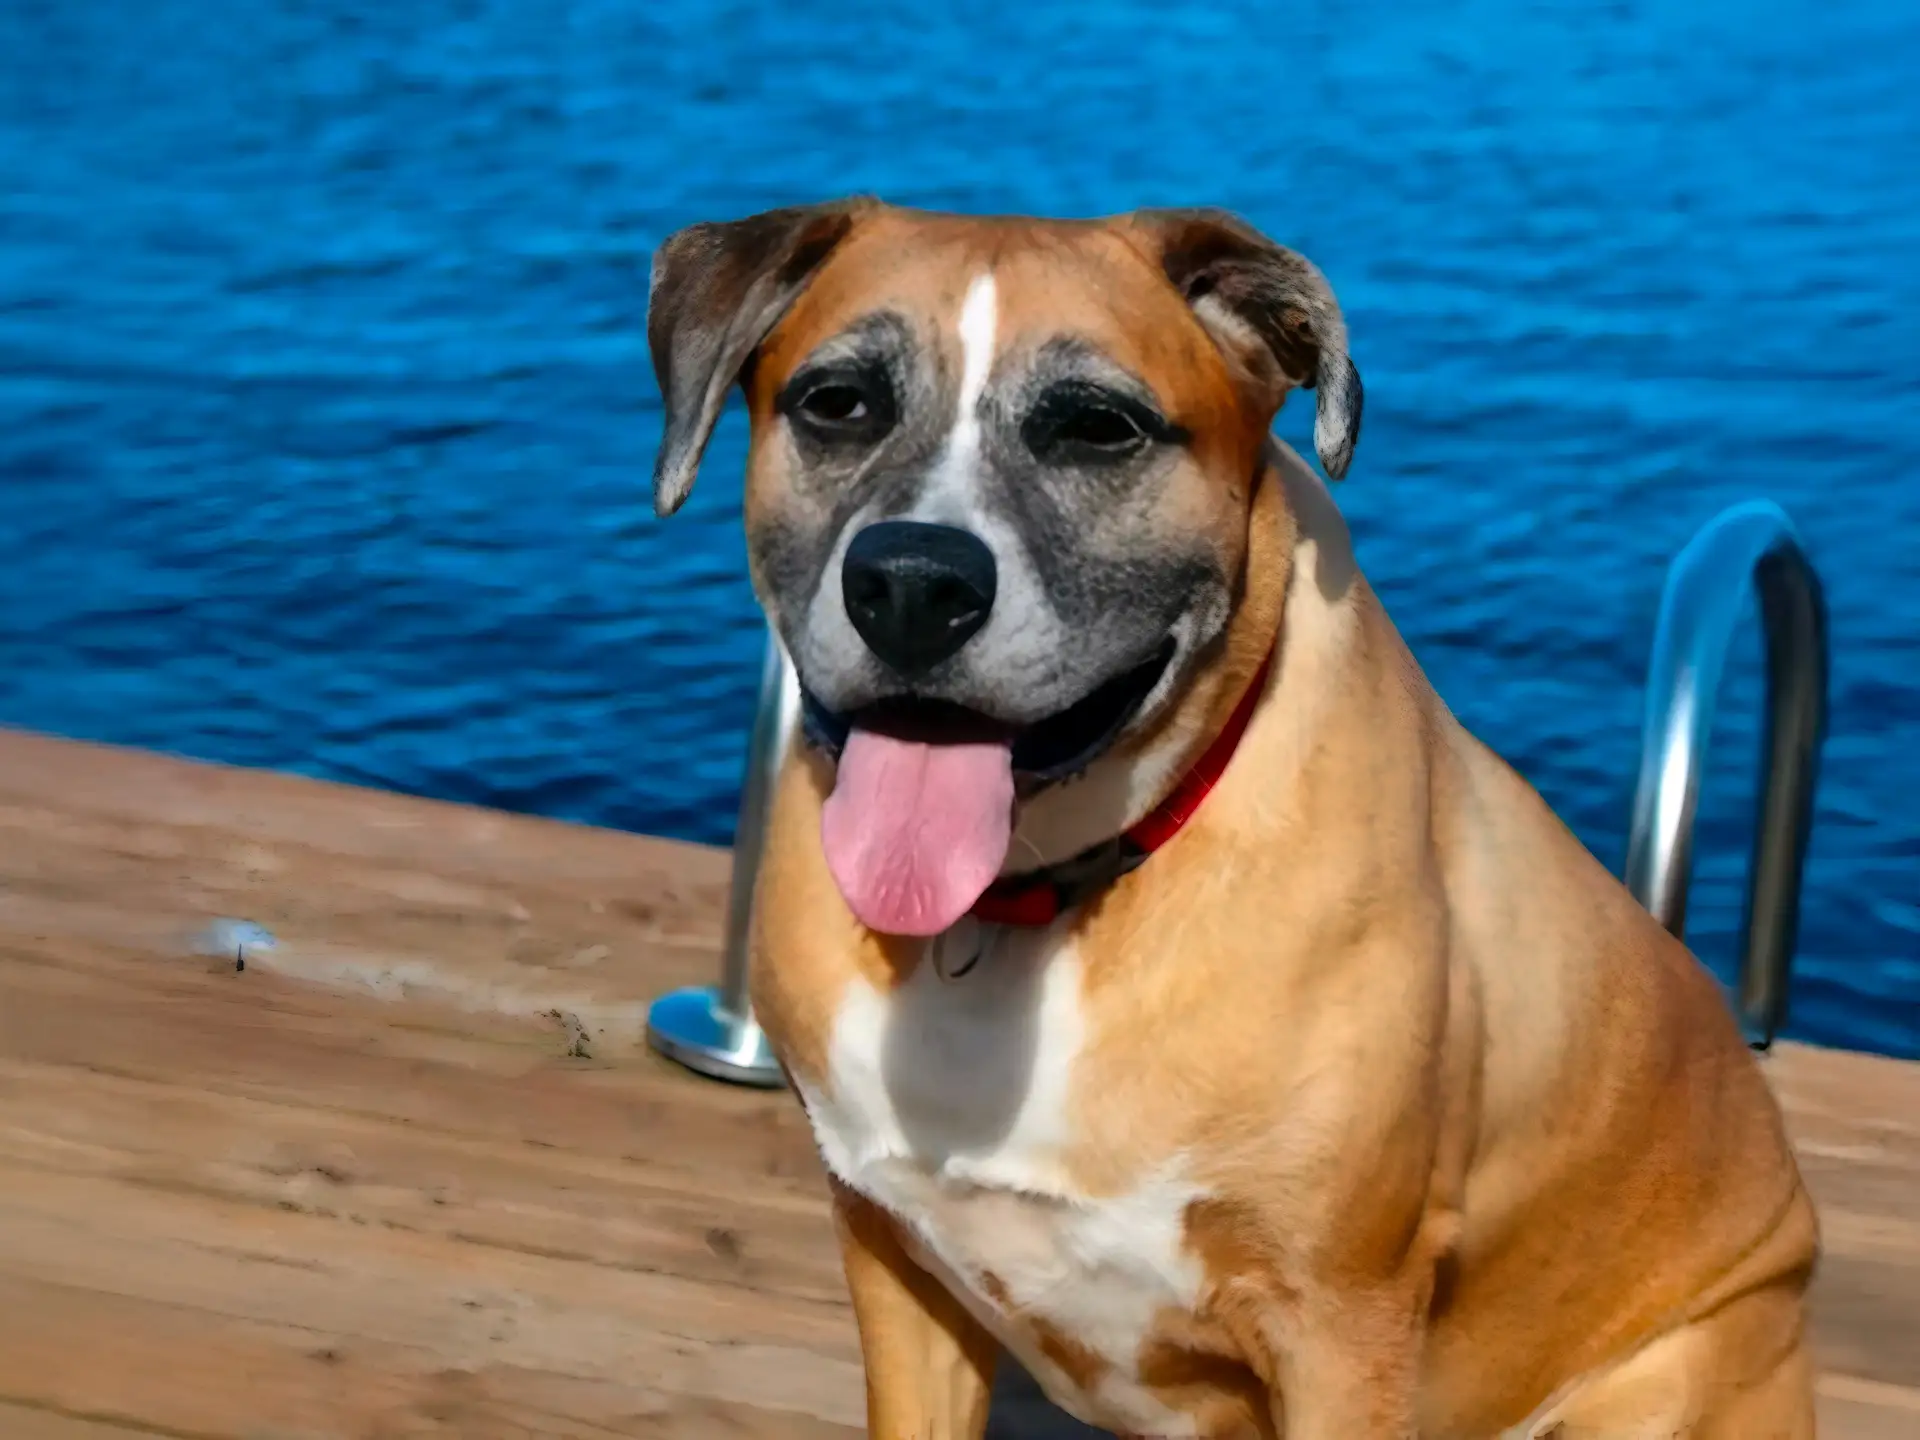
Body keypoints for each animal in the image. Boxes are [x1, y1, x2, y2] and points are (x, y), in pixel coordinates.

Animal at [641, 203, 1812, 1440]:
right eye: (839, 402)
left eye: (1097, 427)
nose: (914, 583)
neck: (1033, 905)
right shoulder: (897, 1258)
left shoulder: (1340, 1323)